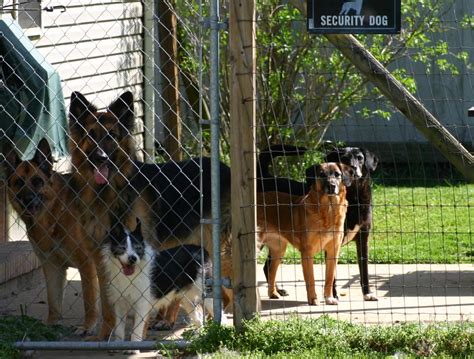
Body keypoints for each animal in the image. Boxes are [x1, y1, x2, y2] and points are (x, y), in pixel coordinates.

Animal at [0, 139, 98, 336]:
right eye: (18, 182)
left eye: (38, 181)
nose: (28, 199)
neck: (55, 210)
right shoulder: (52, 265)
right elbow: (53, 300)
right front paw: (51, 325)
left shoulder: (87, 263)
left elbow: (89, 299)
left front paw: (88, 326)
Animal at [67, 92, 234, 338]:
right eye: (91, 135)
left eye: (112, 136)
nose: (100, 157)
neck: (108, 191)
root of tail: (223, 167)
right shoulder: (100, 257)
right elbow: (107, 304)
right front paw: (103, 334)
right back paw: (170, 320)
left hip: (213, 247)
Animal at [256, 163, 352, 306]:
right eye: (321, 174)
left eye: (337, 174)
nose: (331, 185)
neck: (328, 210)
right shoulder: (307, 252)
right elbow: (310, 279)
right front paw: (313, 299)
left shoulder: (333, 251)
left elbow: (329, 278)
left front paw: (329, 298)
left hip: (279, 249)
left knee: (271, 270)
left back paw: (273, 293)